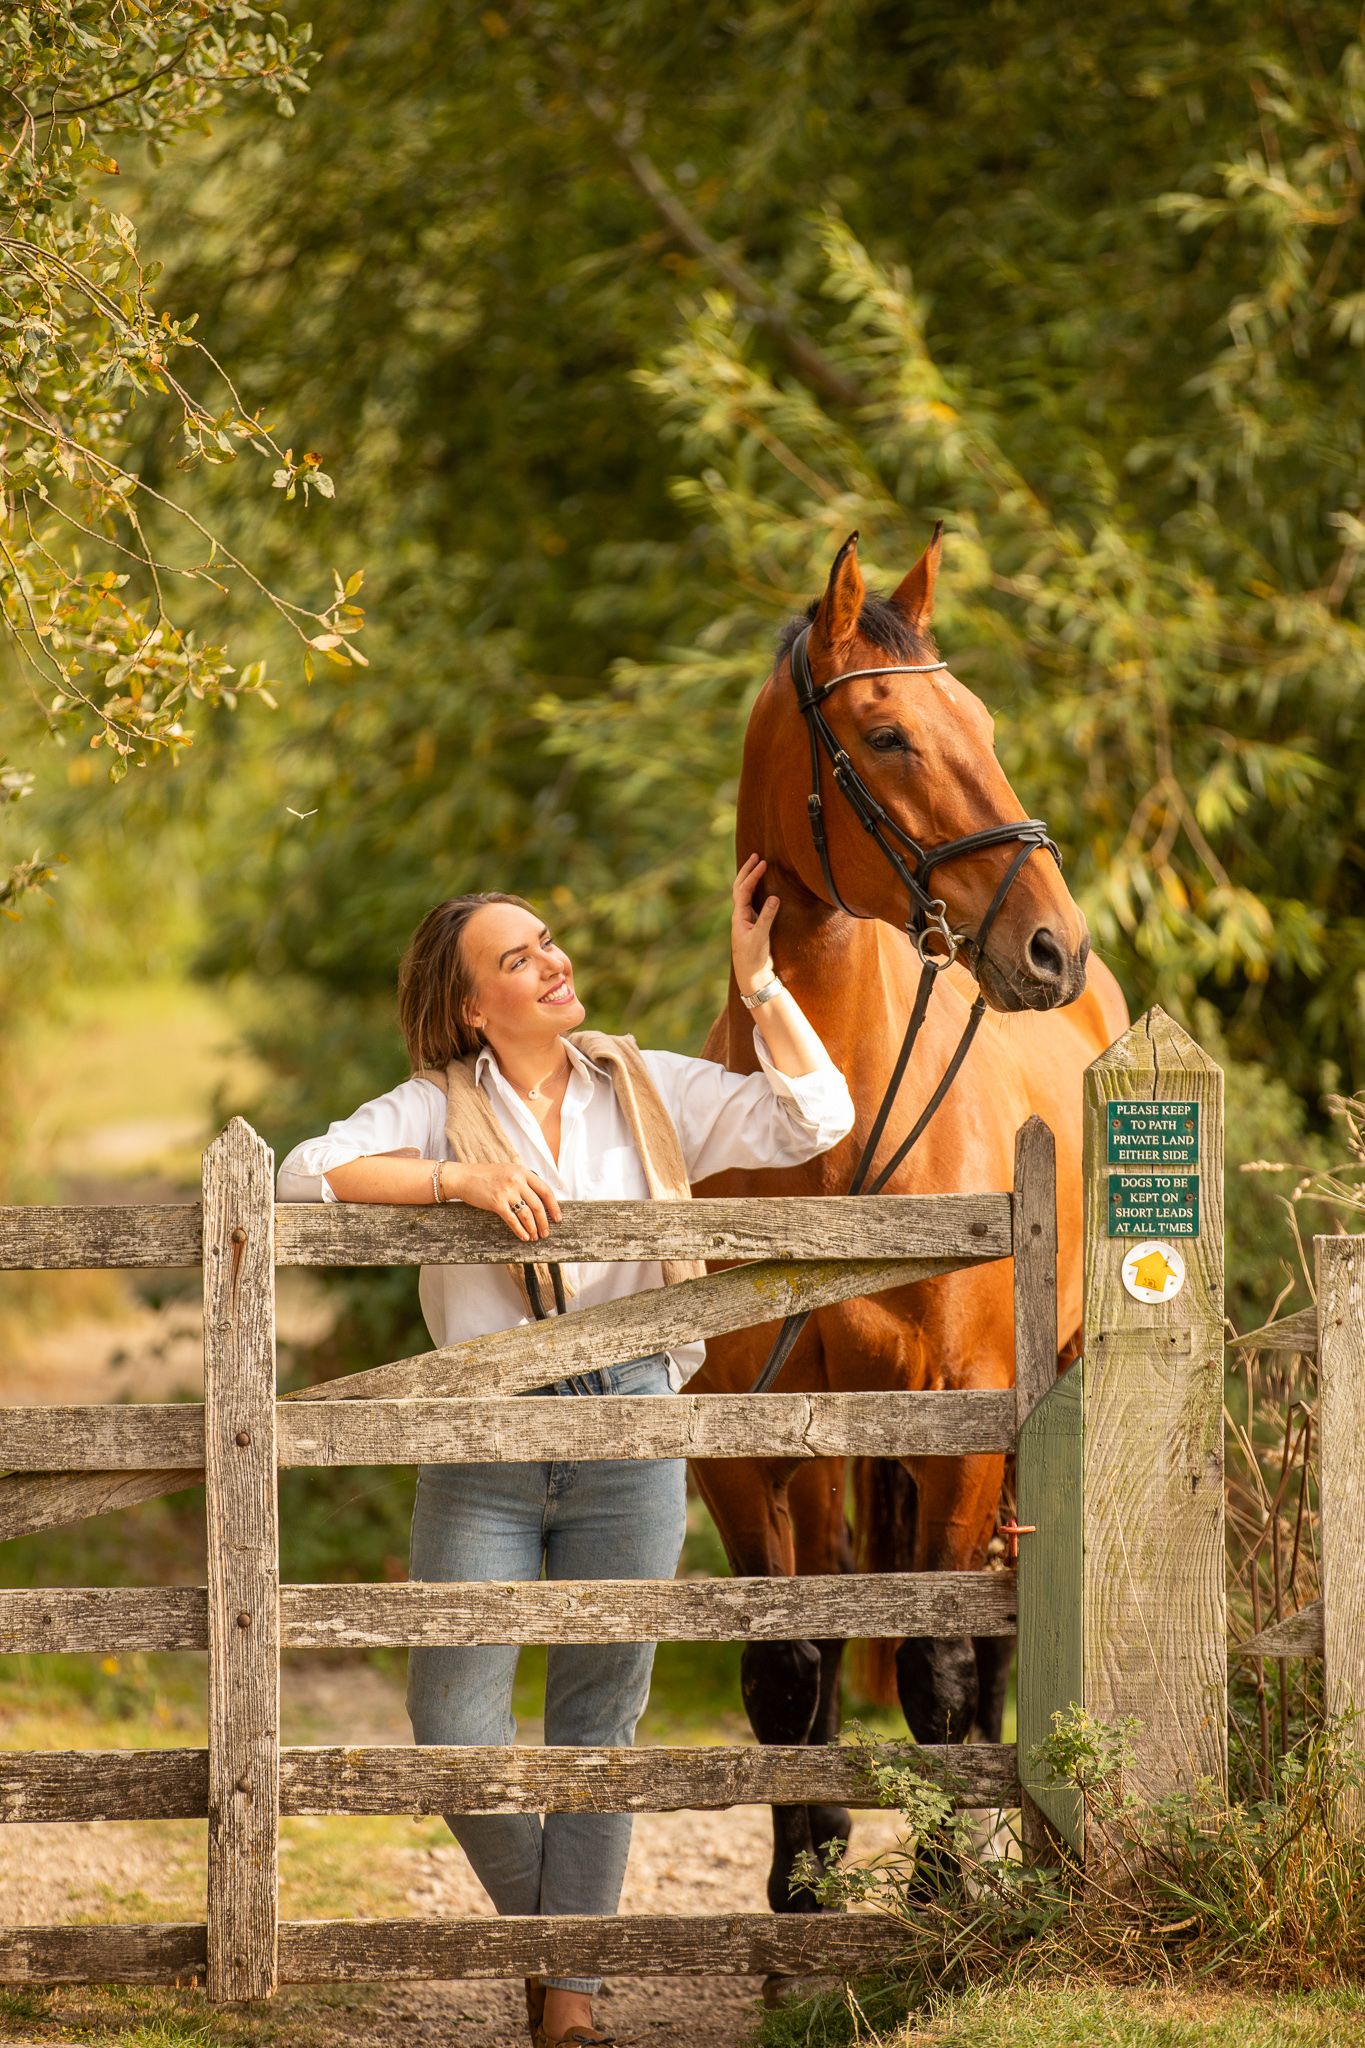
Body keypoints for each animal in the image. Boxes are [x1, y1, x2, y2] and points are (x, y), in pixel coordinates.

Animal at [690, 526, 1129, 1916]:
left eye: (980, 720)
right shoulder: (748, 1443)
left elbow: (938, 1665)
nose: (1051, 946)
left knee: (986, 1629)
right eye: (886, 736)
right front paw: (805, 1880)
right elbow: (786, 1665)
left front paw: (942, 1889)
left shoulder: (961, 1422)